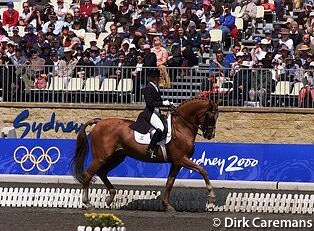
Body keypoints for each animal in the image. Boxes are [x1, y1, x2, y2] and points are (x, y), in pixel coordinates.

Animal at [72, 92, 218, 211]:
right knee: (88, 174)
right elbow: (202, 170)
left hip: (117, 156)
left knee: (102, 173)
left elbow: (169, 183)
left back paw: (110, 198)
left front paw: (167, 205)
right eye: (211, 116)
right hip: (101, 157)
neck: (181, 127)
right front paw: (211, 196)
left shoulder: (176, 163)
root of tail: (99, 122)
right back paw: (87, 203)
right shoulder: (181, 159)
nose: (210, 135)